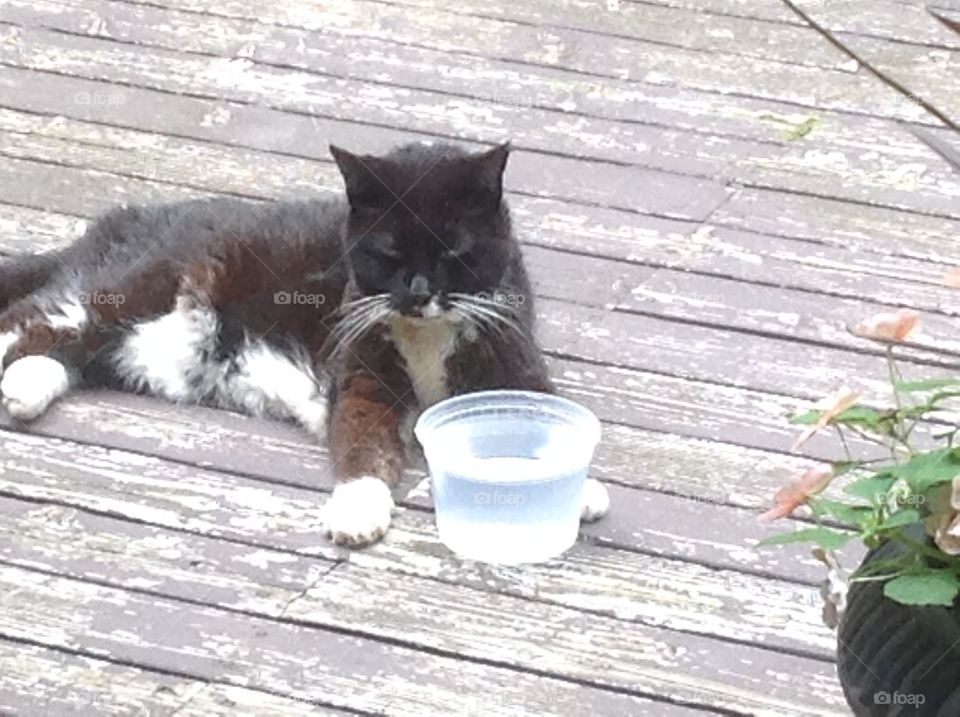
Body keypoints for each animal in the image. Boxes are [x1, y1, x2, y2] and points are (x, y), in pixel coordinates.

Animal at [0, 141, 608, 544]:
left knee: (67, 350)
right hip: (128, 290)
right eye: (388, 251)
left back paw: (25, 389)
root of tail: (114, 222)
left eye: (454, 251)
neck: (426, 333)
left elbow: (546, 412)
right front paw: (358, 507)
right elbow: (363, 441)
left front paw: (581, 486)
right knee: (36, 319)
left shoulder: (513, 354)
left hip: (147, 346)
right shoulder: (360, 373)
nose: (418, 292)